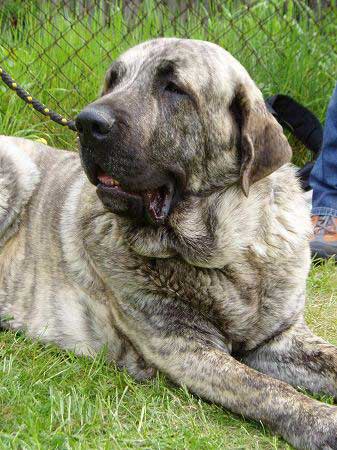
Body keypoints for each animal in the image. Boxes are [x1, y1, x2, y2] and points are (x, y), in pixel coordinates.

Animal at [0, 37, 336, 446]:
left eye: (174, 88)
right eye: (113, 81)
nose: (86, 122)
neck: (226, 255)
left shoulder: (279, 338)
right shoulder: (185, 347)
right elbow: (267, 389)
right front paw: (325, 422)